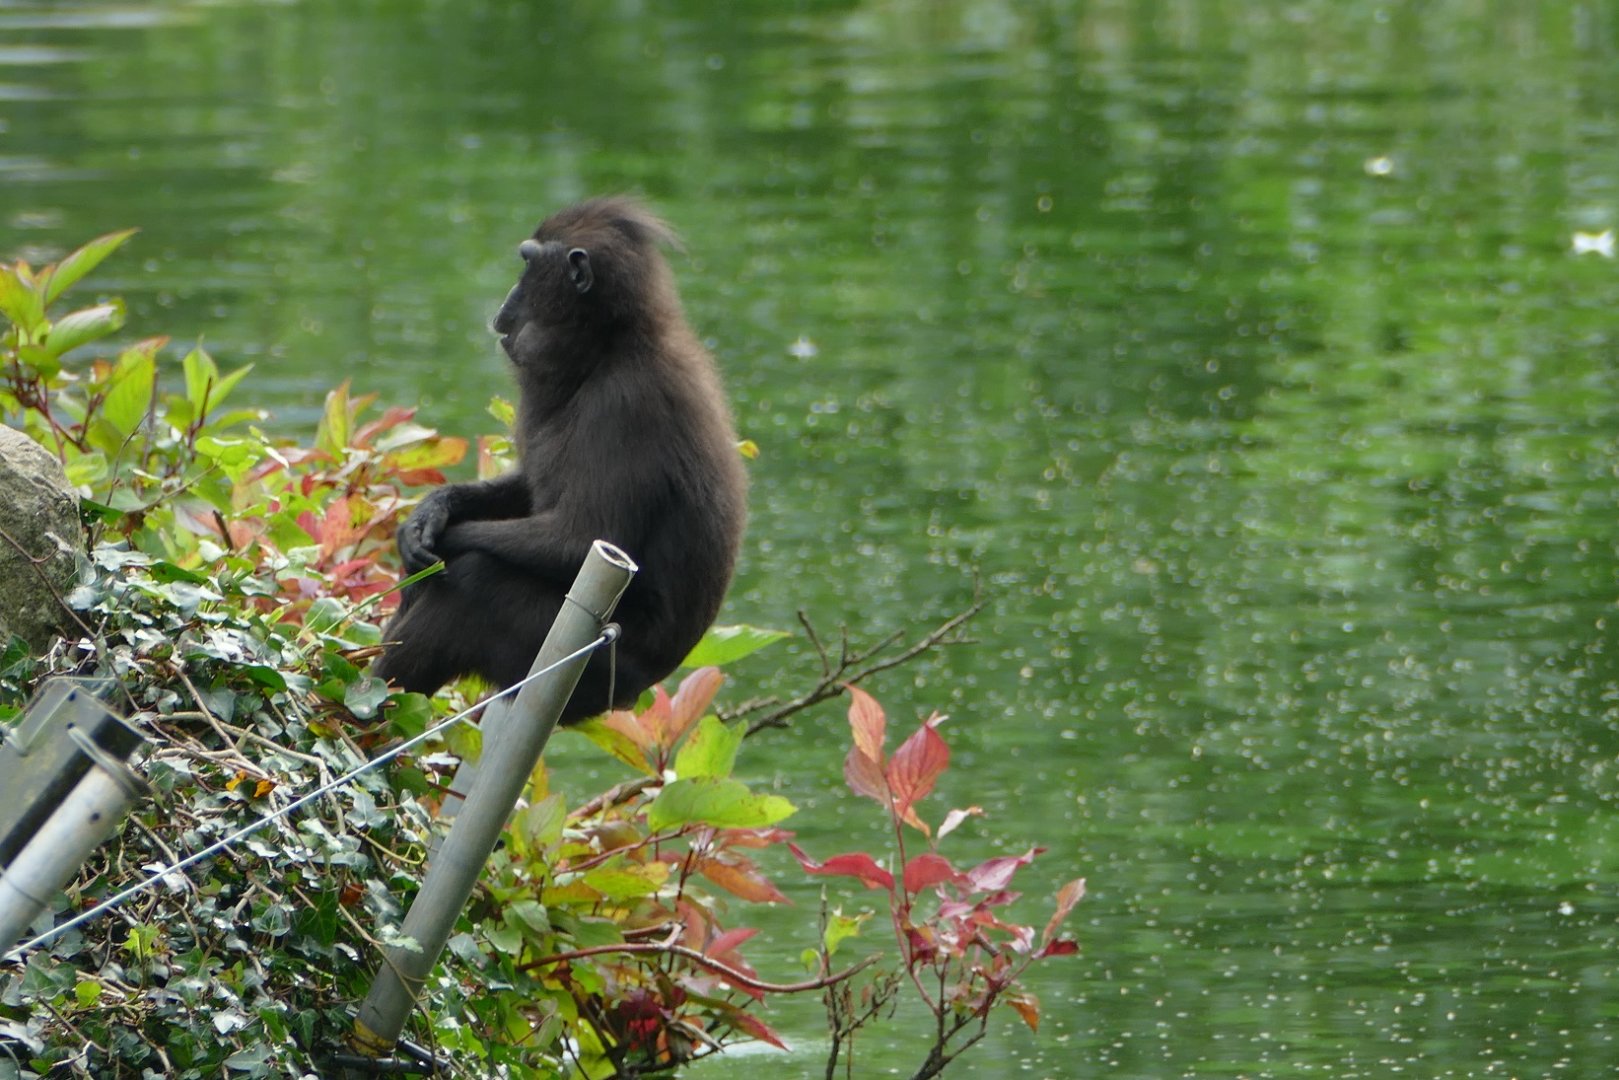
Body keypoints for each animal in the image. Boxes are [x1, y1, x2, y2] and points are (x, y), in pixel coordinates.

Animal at [371, 197, 747, 723]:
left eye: (527, 265)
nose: (502, 311)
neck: (611, 346)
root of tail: (637, 691)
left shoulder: (623, 406)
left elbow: (575, 540)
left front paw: (438, 546)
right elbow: (529, 490)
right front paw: (430, 514)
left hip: (578, 666)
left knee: (474, 580)